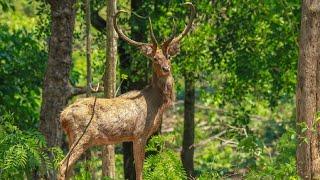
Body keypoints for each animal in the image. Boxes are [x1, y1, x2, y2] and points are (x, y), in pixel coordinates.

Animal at [57, 2, 195, 180]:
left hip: (73, 137)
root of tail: (62, 116)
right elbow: (139, 171)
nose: (166, 69)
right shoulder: (139, 133)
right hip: (82, 135)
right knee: (62, 166)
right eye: (154, 59)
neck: (157, 104)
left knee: (69, 168)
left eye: (168, 57)